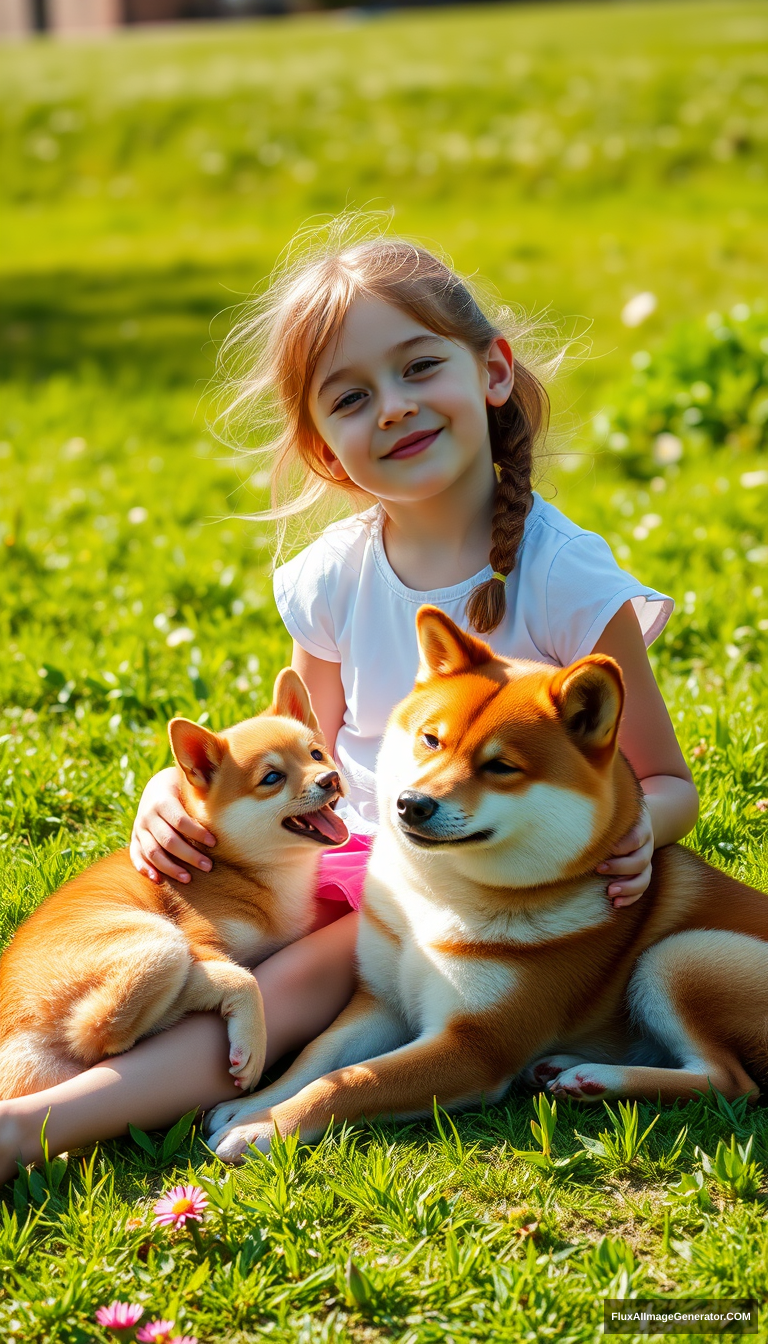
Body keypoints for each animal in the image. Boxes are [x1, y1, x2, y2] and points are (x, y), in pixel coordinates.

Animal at [0, 672, 344, 1102]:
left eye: (316, 754)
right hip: (160, 941)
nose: (330, 778)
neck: (238, 867)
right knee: (101, 1034)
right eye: (272, 778)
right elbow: (242, 977)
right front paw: (251, 1037)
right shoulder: (199, 938)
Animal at [203, 604, 768, 1161]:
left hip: (682, 955)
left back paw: (596, 1077)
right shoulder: (381, 1000)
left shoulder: (474, 1047)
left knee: (730, 1081)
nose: (411, 803)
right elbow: (315, 1057)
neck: (436, 900)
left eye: (501, 767)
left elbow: (351, 1082)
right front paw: (253, 1105)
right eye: (431, 739)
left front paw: (265, 1128)